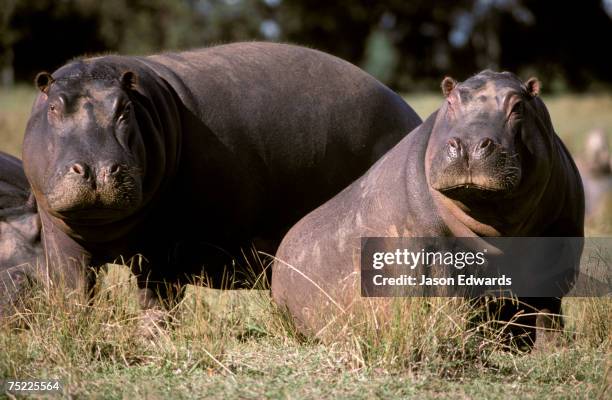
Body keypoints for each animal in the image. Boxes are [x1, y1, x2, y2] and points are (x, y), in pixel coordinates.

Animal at [20, 41, 420, 296]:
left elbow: (155, 297)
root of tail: (411, 113)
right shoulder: (61, 240)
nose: (98, 168)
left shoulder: (162, 242)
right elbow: (71, 291)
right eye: (53, 106)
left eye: (125, 109)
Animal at [272, 70, 584, 346]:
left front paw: (552, 351)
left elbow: (547, 306)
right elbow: (449, 303)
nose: (469, 144)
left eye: (518, 106)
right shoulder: (432, 252)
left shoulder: (558, 249)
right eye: (450, 102)